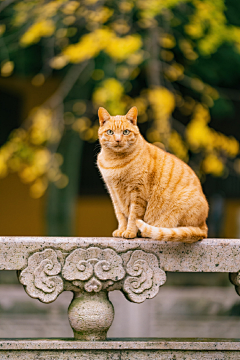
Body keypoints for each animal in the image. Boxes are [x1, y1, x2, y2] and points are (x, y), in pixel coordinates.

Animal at [97, 105, 208, 243]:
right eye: (110, 132)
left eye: (126, 132)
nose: (118, 140)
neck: (115, 162)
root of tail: (204, 227)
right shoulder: (114, 193)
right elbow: (121, 216)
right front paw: (121, 230)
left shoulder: (138, 193)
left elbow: (133, 216)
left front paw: (130, 232)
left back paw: (145, 233)